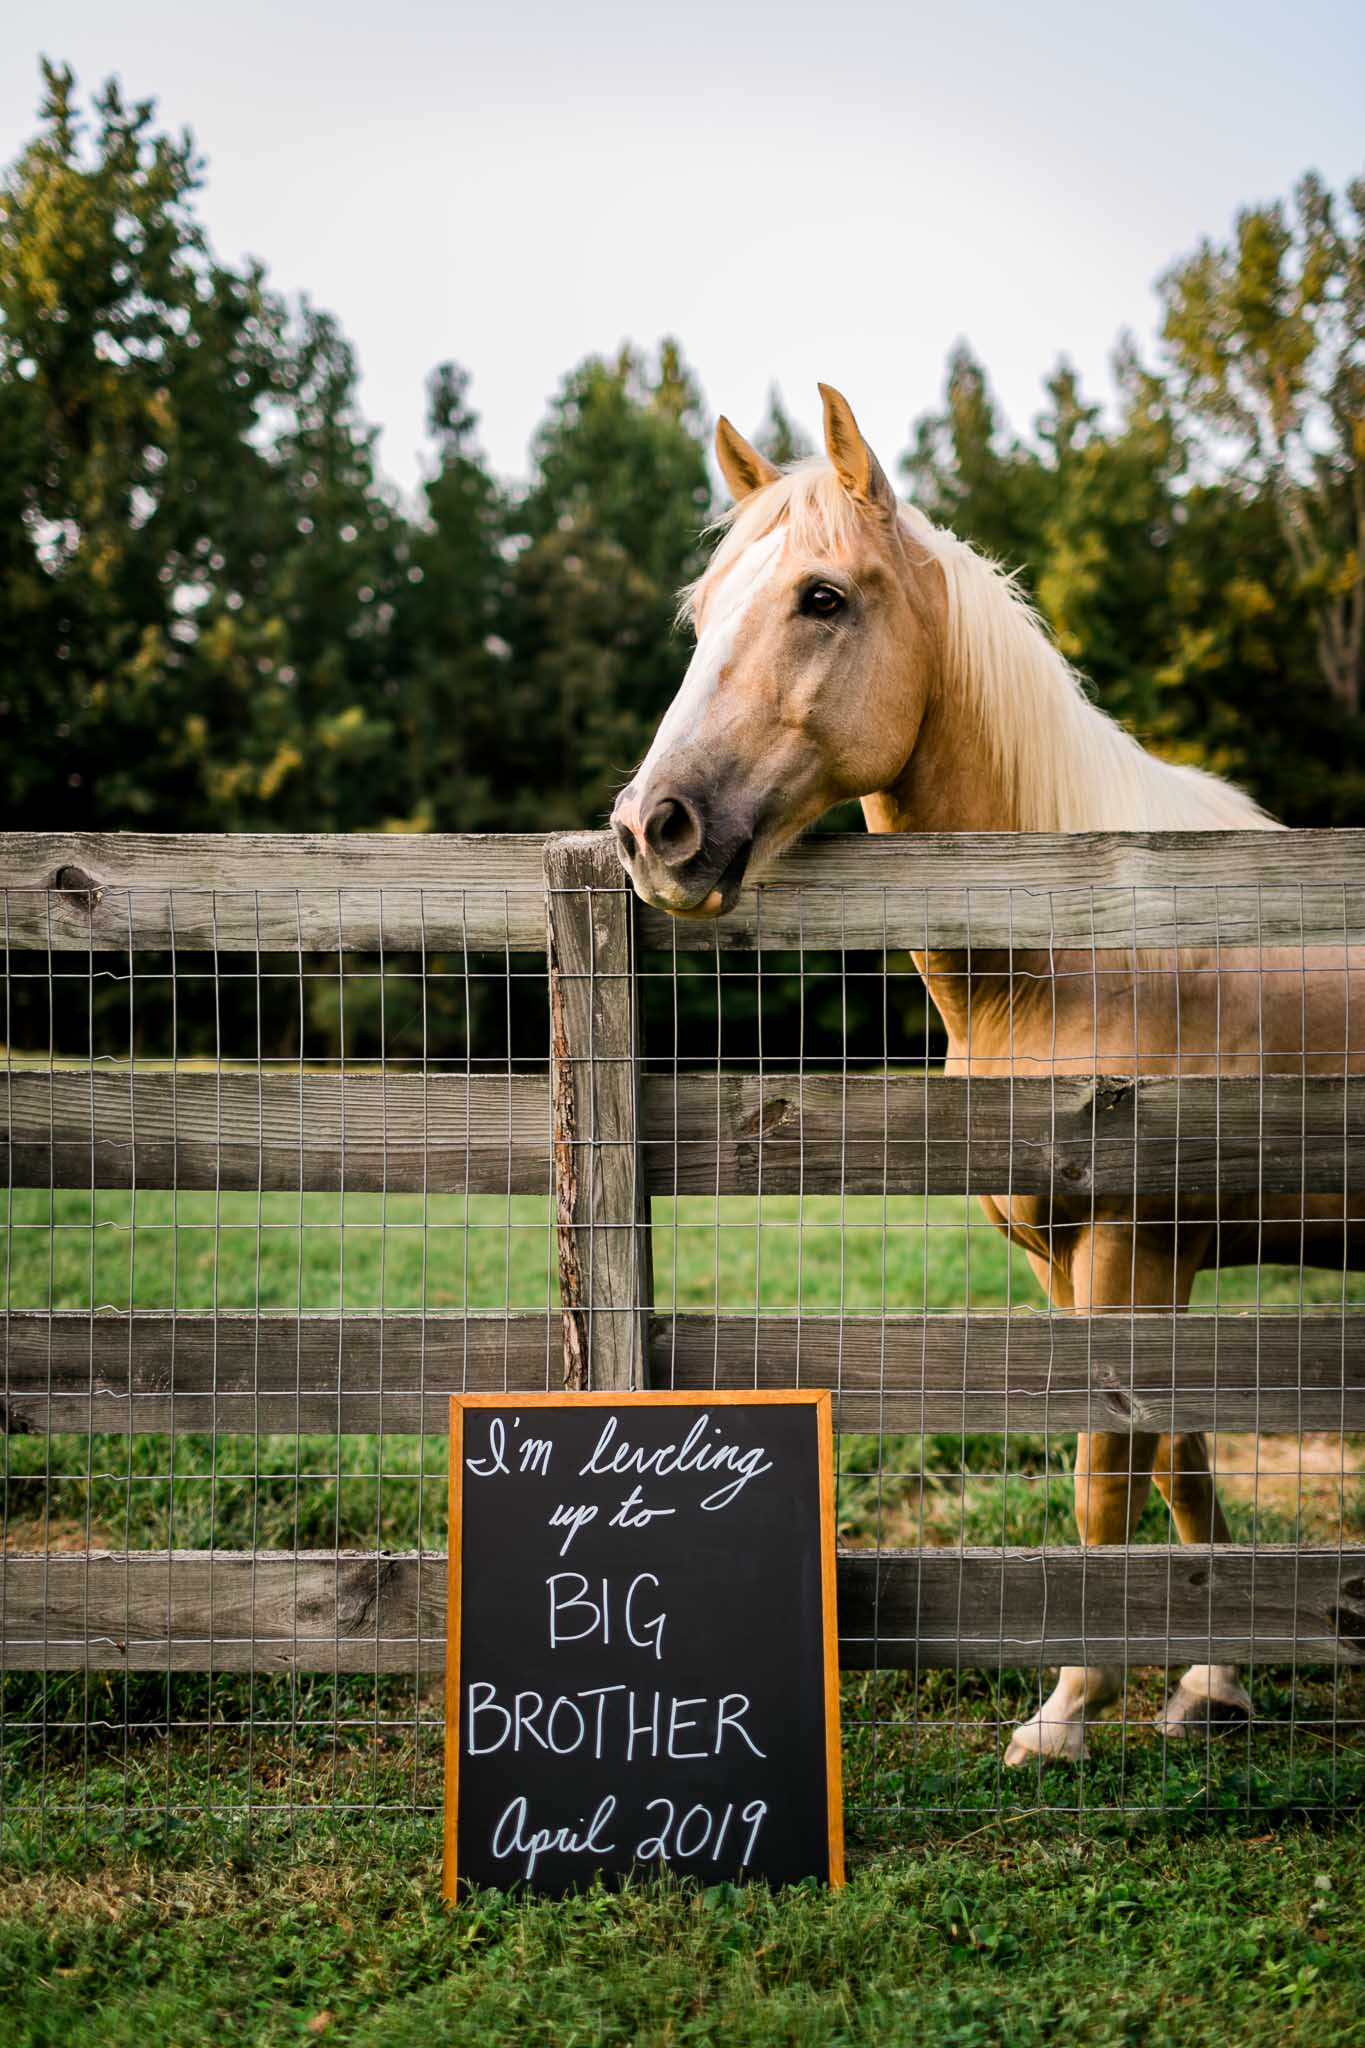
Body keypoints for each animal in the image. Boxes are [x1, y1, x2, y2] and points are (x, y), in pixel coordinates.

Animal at [609, 391, 1365, 1769]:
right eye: (702, 613)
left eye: (820, 597)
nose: (655, 829)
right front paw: (1210, 1677)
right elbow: (1177, 1453)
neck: (1087, 946)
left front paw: (1068, 1708)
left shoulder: (1129, 1246)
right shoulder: (1096, 1259)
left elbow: (1105, 1469)